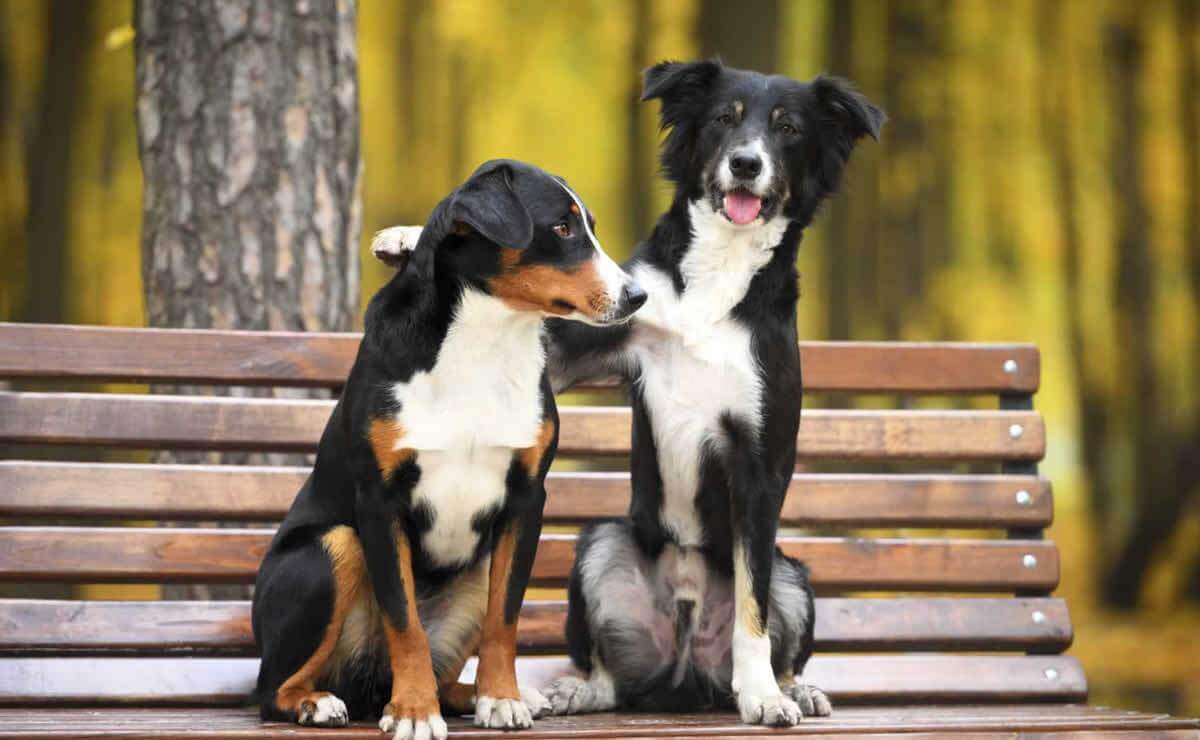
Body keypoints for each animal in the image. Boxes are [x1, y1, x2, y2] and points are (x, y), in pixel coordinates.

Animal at [254, 157, 648, 738]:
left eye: (589, 226)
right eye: (561, 227)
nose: (636, 296)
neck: (484, 342)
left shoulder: (526, 499)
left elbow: (504, 619)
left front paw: (502, 699)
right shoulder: (379, 502)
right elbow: (404, 623)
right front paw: (415, 712)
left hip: (474, 569)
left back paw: (482, 696)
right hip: (332, 546)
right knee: (269, 688)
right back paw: (317, 703)